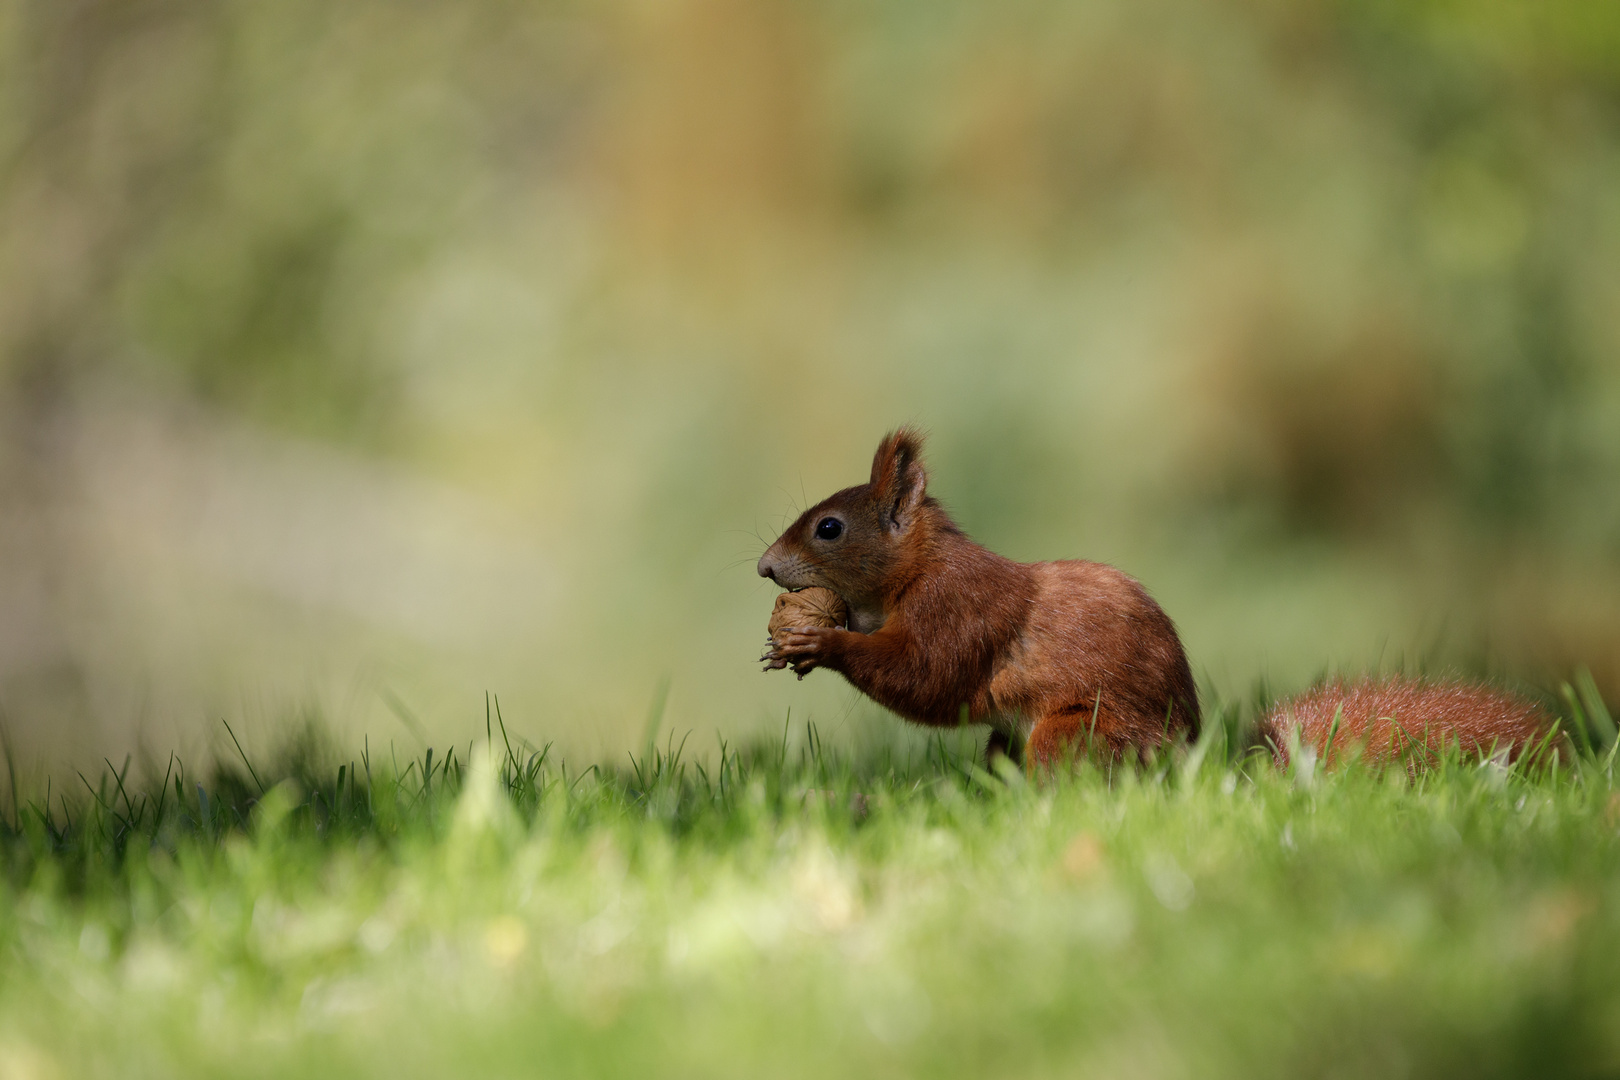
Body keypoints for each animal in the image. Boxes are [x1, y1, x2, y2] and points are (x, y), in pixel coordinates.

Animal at [764, 427, 1561, 773]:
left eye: (829, 528)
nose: (768, 568)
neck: (916, 569)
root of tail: (1187, 763)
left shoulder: (961, 608)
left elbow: (928, 678)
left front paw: (822, 643)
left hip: (1077, 732)